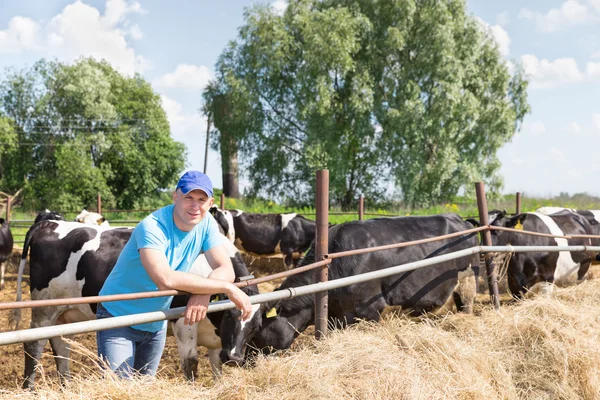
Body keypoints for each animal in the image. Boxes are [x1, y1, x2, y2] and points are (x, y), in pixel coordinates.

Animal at [218, 216, 480, 362]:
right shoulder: (337, 317)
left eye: (257, 327)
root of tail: (462, 219)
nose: (236, 358)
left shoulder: (370, 311)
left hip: (467, 284)